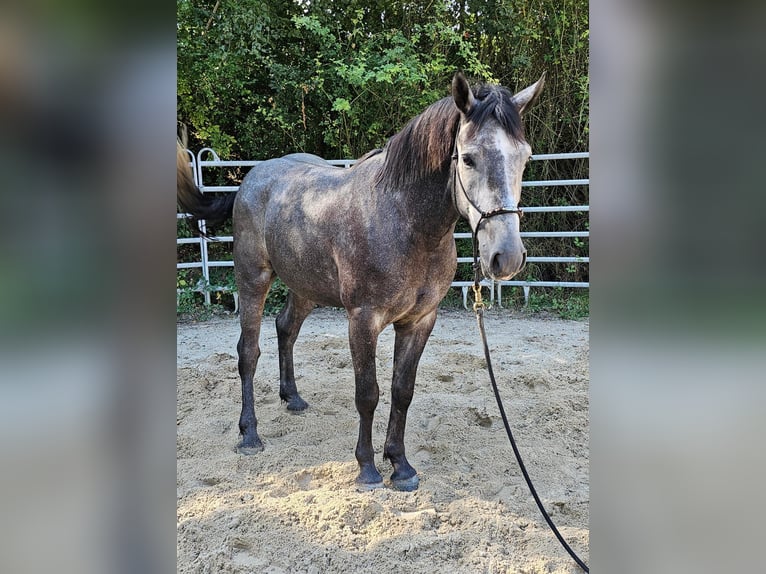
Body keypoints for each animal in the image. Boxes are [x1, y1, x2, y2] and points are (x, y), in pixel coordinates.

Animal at [177, 72, 544, 492]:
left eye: (525, 157)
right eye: (468, 158)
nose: (507, 256)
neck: (404, 222)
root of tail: (252, 178)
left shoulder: (420, 321)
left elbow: (402, 390)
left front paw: (400, 465)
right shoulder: (362, 320)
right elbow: (367, 393)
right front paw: (367, 468)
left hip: (305, 287)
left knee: (285, 329)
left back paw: (292, 398)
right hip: (253, 279)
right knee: (248, 352)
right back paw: (249, 434)